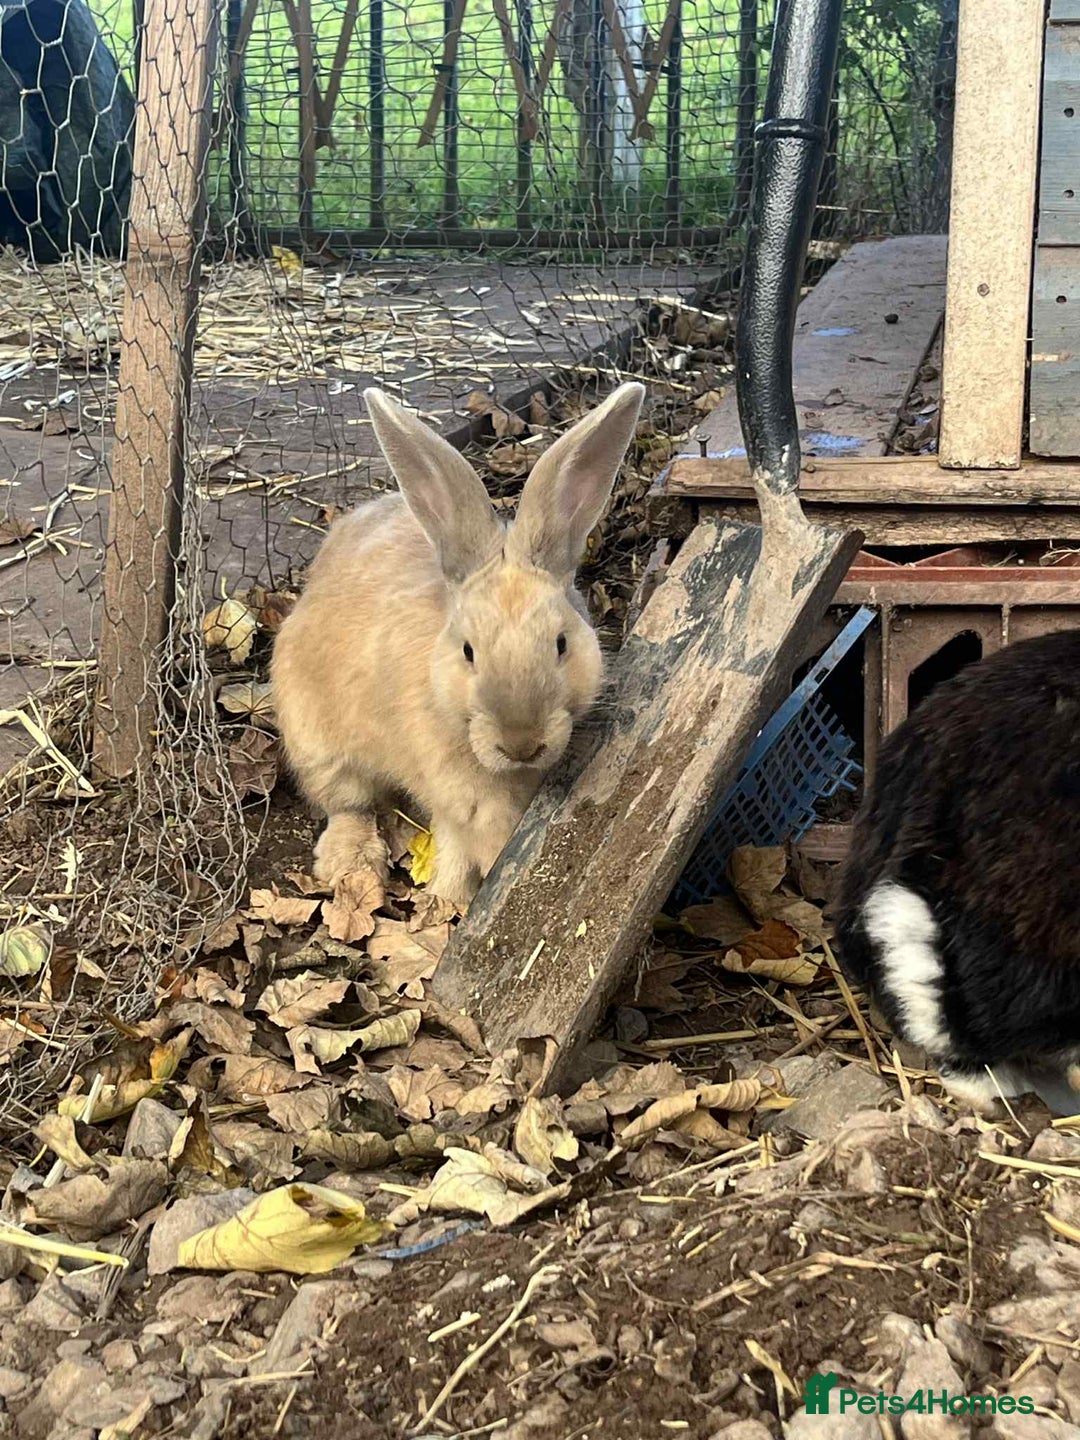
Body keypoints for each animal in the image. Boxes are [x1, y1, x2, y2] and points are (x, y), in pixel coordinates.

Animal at [271, 381, 645, 908]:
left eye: (561, 644)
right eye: (468, 652)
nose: (522, 744)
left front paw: (449, 900)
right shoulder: (455, 790)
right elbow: (473, 837)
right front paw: (457, 898)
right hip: (317, 742)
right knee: (348, 804)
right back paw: (353, 862)